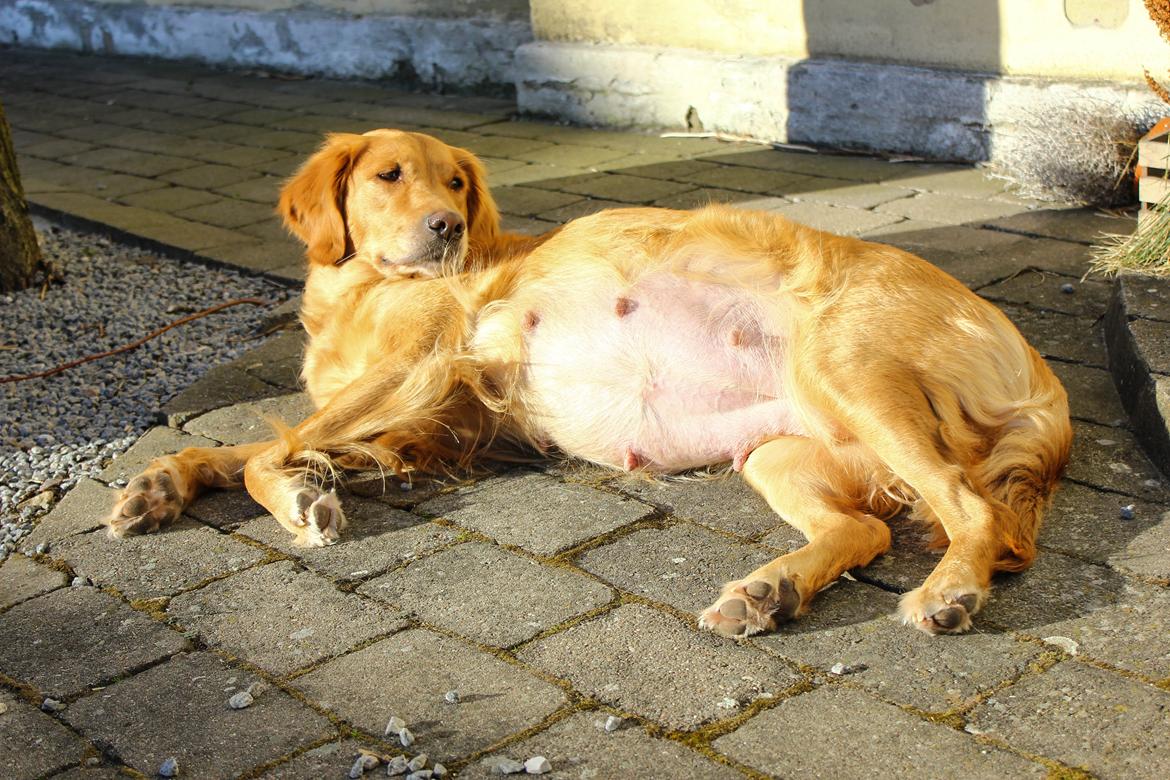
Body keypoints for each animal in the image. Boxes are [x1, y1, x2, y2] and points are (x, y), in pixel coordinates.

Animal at [105, 128, 1071, 636]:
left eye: (455, 182)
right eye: (389, 175)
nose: (447, 227)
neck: (358, 287)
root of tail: (1041, 374)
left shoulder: (417, 363)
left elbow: (264, 452)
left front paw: (299, 498)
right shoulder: (423, 418)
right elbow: (241, 445)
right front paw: (163, 483)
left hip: (850, 374)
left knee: (973, 511)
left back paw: (947, 590)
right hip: (787, 450)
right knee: (866, 529)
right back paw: (774, 590)